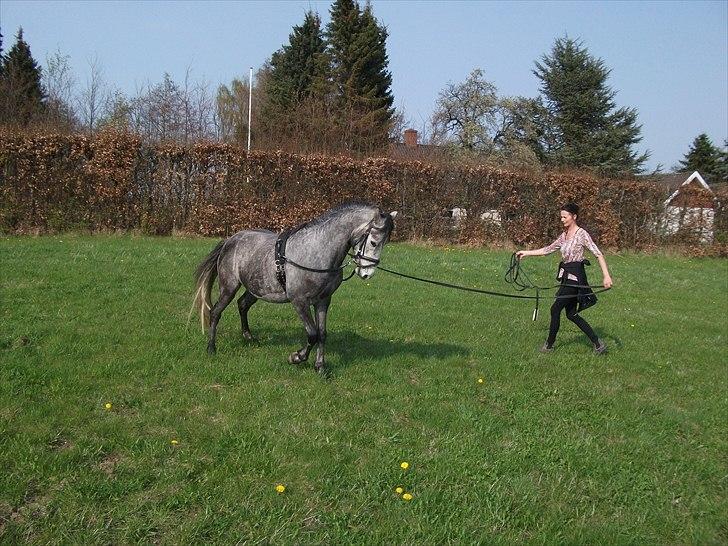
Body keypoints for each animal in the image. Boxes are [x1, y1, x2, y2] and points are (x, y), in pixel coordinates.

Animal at [193, 201, 398, 374]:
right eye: (373, 242)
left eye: (385, 243)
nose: (367, 274)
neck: (317, 252)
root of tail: (230, 240)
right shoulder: (299, 301)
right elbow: (312, 334)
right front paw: (296, 357)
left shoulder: (323, 301)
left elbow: (322, 334)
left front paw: (320, 367)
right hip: (229, 286)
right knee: (216, 312)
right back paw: (211, 348)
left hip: (256, 289)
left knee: (242, 304)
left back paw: (249, 337)